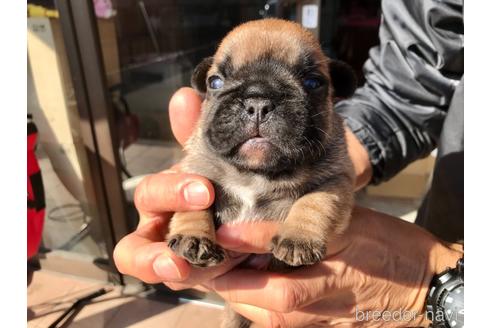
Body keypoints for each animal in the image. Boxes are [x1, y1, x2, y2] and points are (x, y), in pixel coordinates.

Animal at [167, 18, 356, 328]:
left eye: (313, 82)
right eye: (215, 82)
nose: (258, 100)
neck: (255, 174)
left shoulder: (337, 180)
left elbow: (315, 201)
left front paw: (298, 238)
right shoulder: (194, 172)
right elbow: (193, 204)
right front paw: (193, 237)